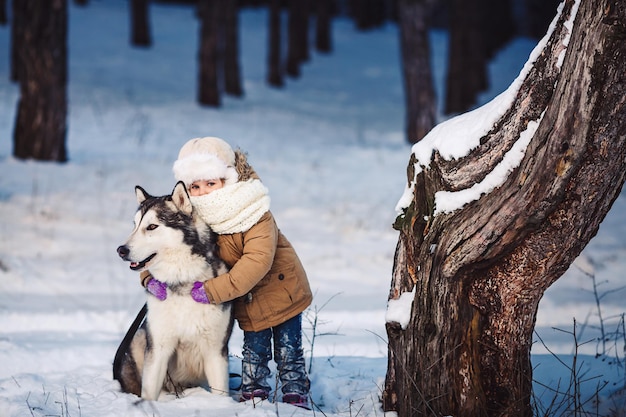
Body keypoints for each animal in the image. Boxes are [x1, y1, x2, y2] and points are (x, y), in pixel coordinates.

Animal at [113, 181, 233, 400]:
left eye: (152, 226)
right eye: (134, 225)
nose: (121, 250)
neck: (182, 279)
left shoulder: (215, 351)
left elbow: (220, 392)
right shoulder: (158, 347)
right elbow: (149, 392)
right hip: (140, 338)